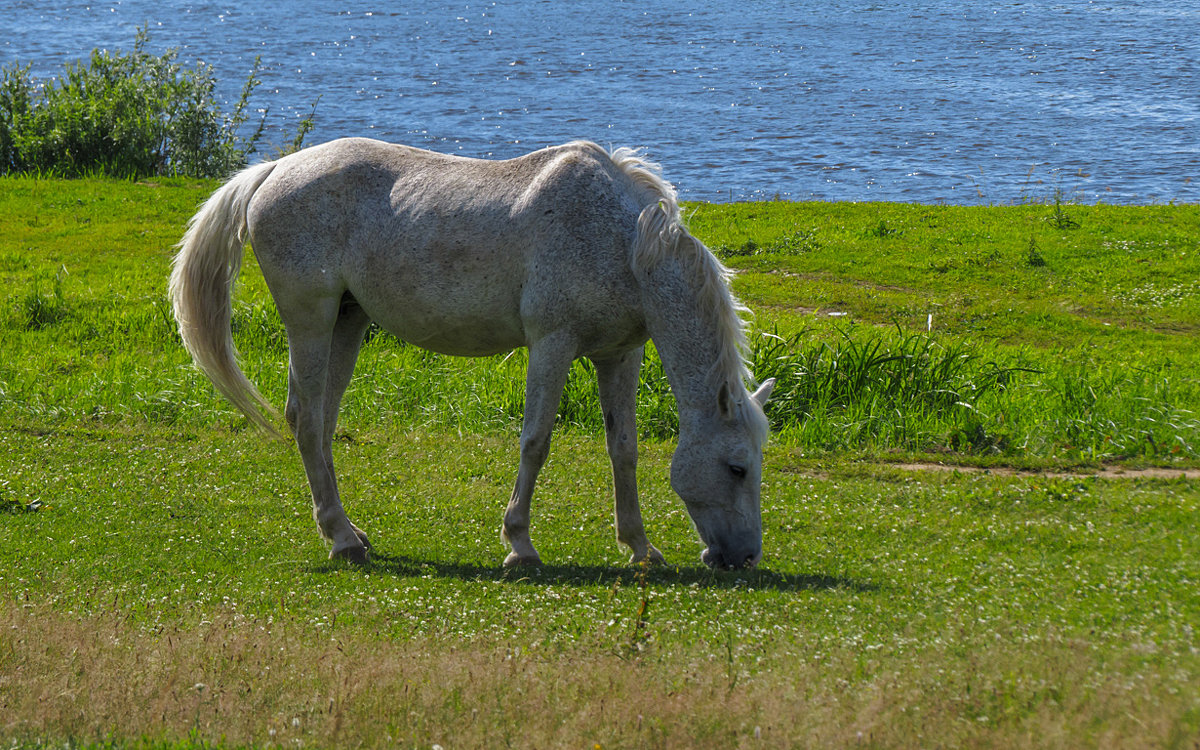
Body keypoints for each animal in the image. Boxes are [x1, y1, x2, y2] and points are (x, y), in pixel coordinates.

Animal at [169, 136, 772, 566]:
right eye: (737, 467)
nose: (742, 558)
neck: (624, 244)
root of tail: (273, 171)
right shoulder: (553, 344)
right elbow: (536, 441)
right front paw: (519, 544)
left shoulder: (619, 355)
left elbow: (623, 448)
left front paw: (641, 548)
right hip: (310, 320)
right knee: (306, 418)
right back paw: (342, 540)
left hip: (347, 321)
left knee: (320, 422)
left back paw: (349, 530)